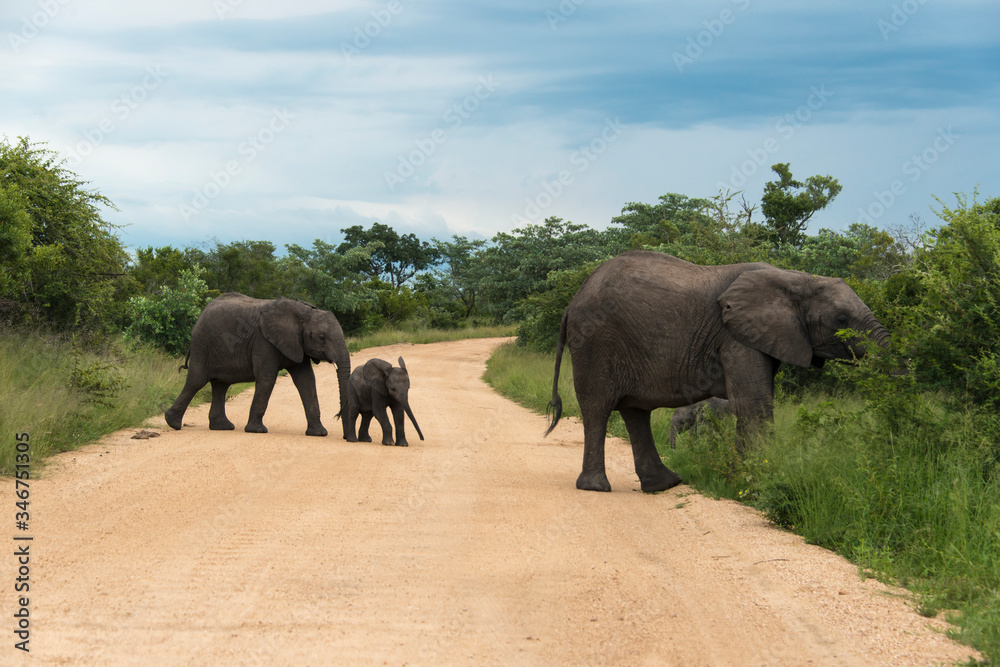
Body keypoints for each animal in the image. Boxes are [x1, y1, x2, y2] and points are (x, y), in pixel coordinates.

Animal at [164, 294, 352, 438]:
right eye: (322, 337)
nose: (344, 436)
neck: (304, 312)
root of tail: (201, 313)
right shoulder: (264, 342)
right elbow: (267, 378)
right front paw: (257, 431)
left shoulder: (297, 344)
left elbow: (306, 380)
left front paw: (319, 434)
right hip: (202, 344)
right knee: (196, 380)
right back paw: (172, 423)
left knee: (220, 385)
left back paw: (222, 427)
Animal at [548, 253, 892, 494]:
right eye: (842, 319)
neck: (797, 278)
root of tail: (570, 303)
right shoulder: (736, 336)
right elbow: (754, 403)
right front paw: (754, 481)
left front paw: (744, 476)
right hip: (596, 341)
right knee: (598, 407)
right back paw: (597, 487)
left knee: (635, 411)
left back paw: (665, 485)